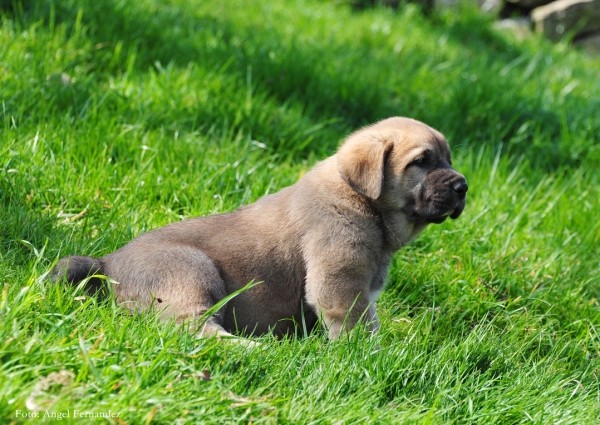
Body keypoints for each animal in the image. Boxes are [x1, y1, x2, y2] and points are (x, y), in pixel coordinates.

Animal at [51, 117, 466, 340]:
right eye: (422, 161)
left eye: (447, 159)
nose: (463, 186)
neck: (360, 198)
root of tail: (107, 262)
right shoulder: (340, 283)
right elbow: (357, 326)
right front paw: (370, 357)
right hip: (190, 272)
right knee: (195, 331)